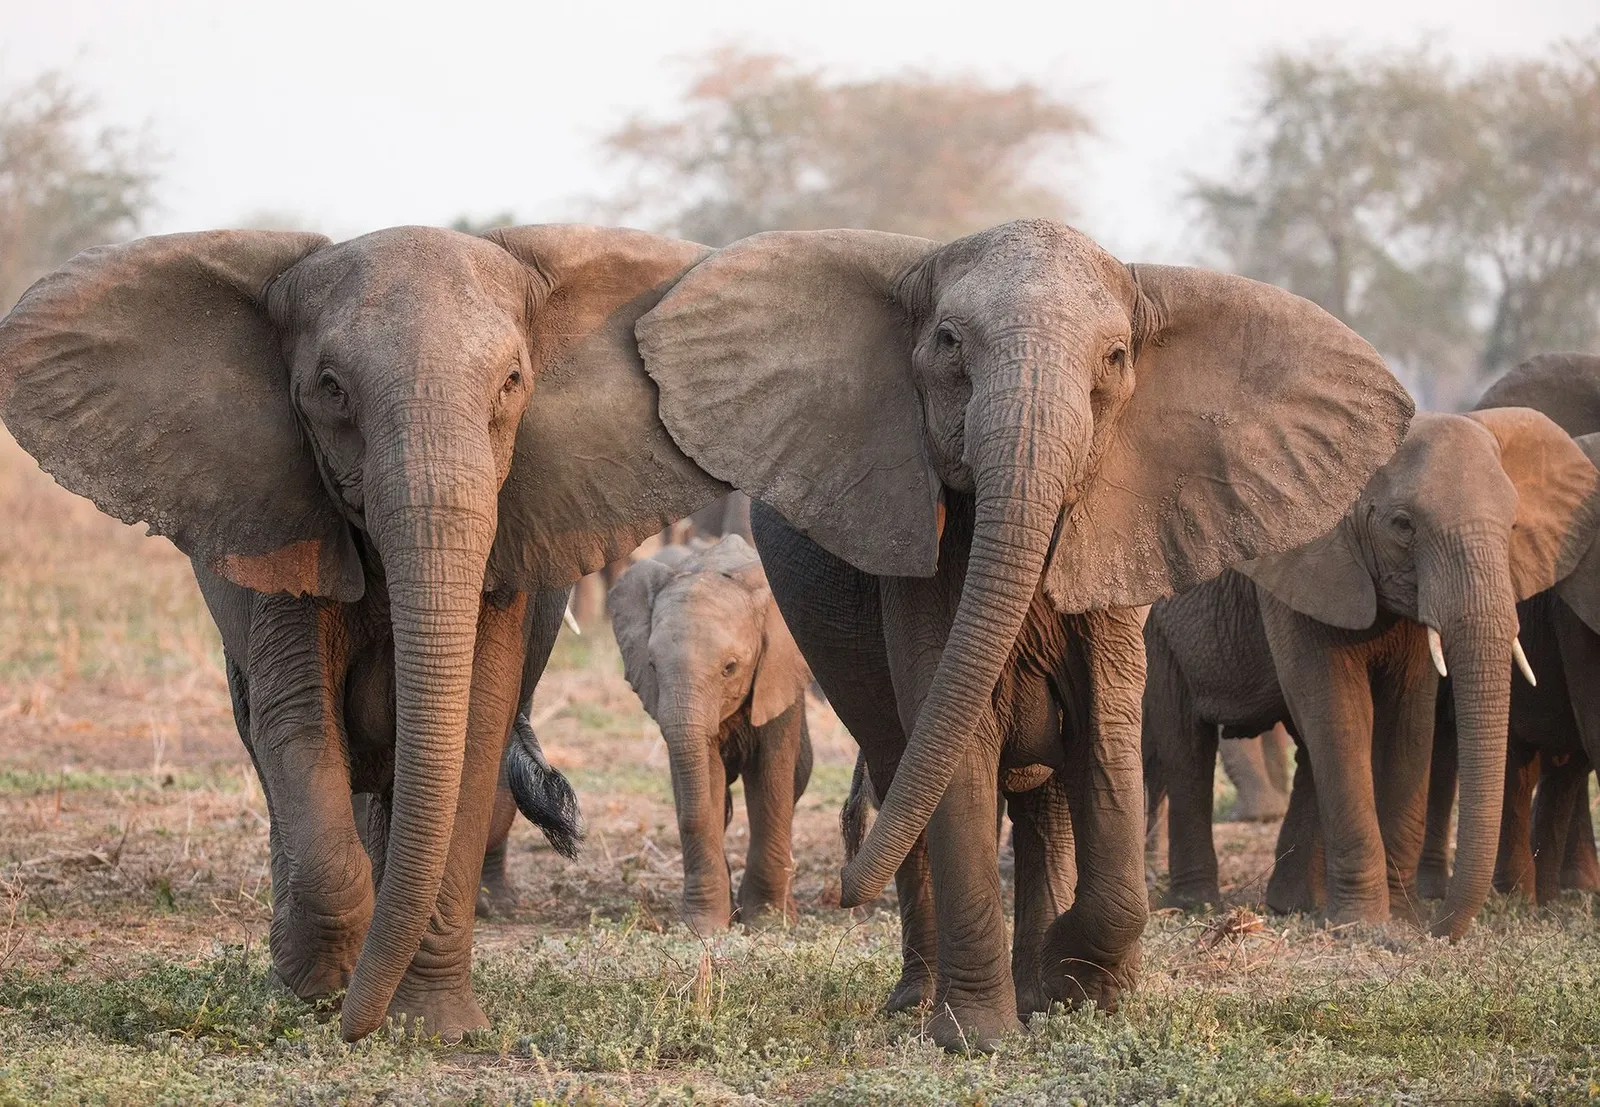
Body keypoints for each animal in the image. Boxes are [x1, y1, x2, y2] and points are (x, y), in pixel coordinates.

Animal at [0, 224, 729, 1041]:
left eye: (512, 381)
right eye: (330, 388)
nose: (356, 1026)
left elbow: (472, 732)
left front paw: (433, 1028)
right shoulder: (283, 525)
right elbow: (297, 723)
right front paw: (317, 991)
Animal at [609, 534, 813, 932]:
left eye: (730, 668)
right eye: (652, 666)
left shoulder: (779, 675)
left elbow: (771, 782)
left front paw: (767, 923)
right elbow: (705, 775)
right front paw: (703, 928)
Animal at [632, 219, 1413, 1049]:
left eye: (1115, 358)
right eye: (948, 342)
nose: (842, 890)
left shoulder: (1119, 535)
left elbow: (1106, 731)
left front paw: (1079, 984)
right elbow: (957, 740)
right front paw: (976, 1036)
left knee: (1044, 799)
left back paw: (1036, 985)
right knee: (903, 767)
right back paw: (919, 1000)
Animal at [1143, 408, 1600, 938]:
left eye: (1512, 526)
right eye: (1403, 526)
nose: (1436, 928)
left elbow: (1408, 719)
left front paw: (1398, 916)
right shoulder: (1303, 565)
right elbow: (1339, 713)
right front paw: (1361, 925)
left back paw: (1291, 904)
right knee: (1185, 746)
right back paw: (1195, 904)